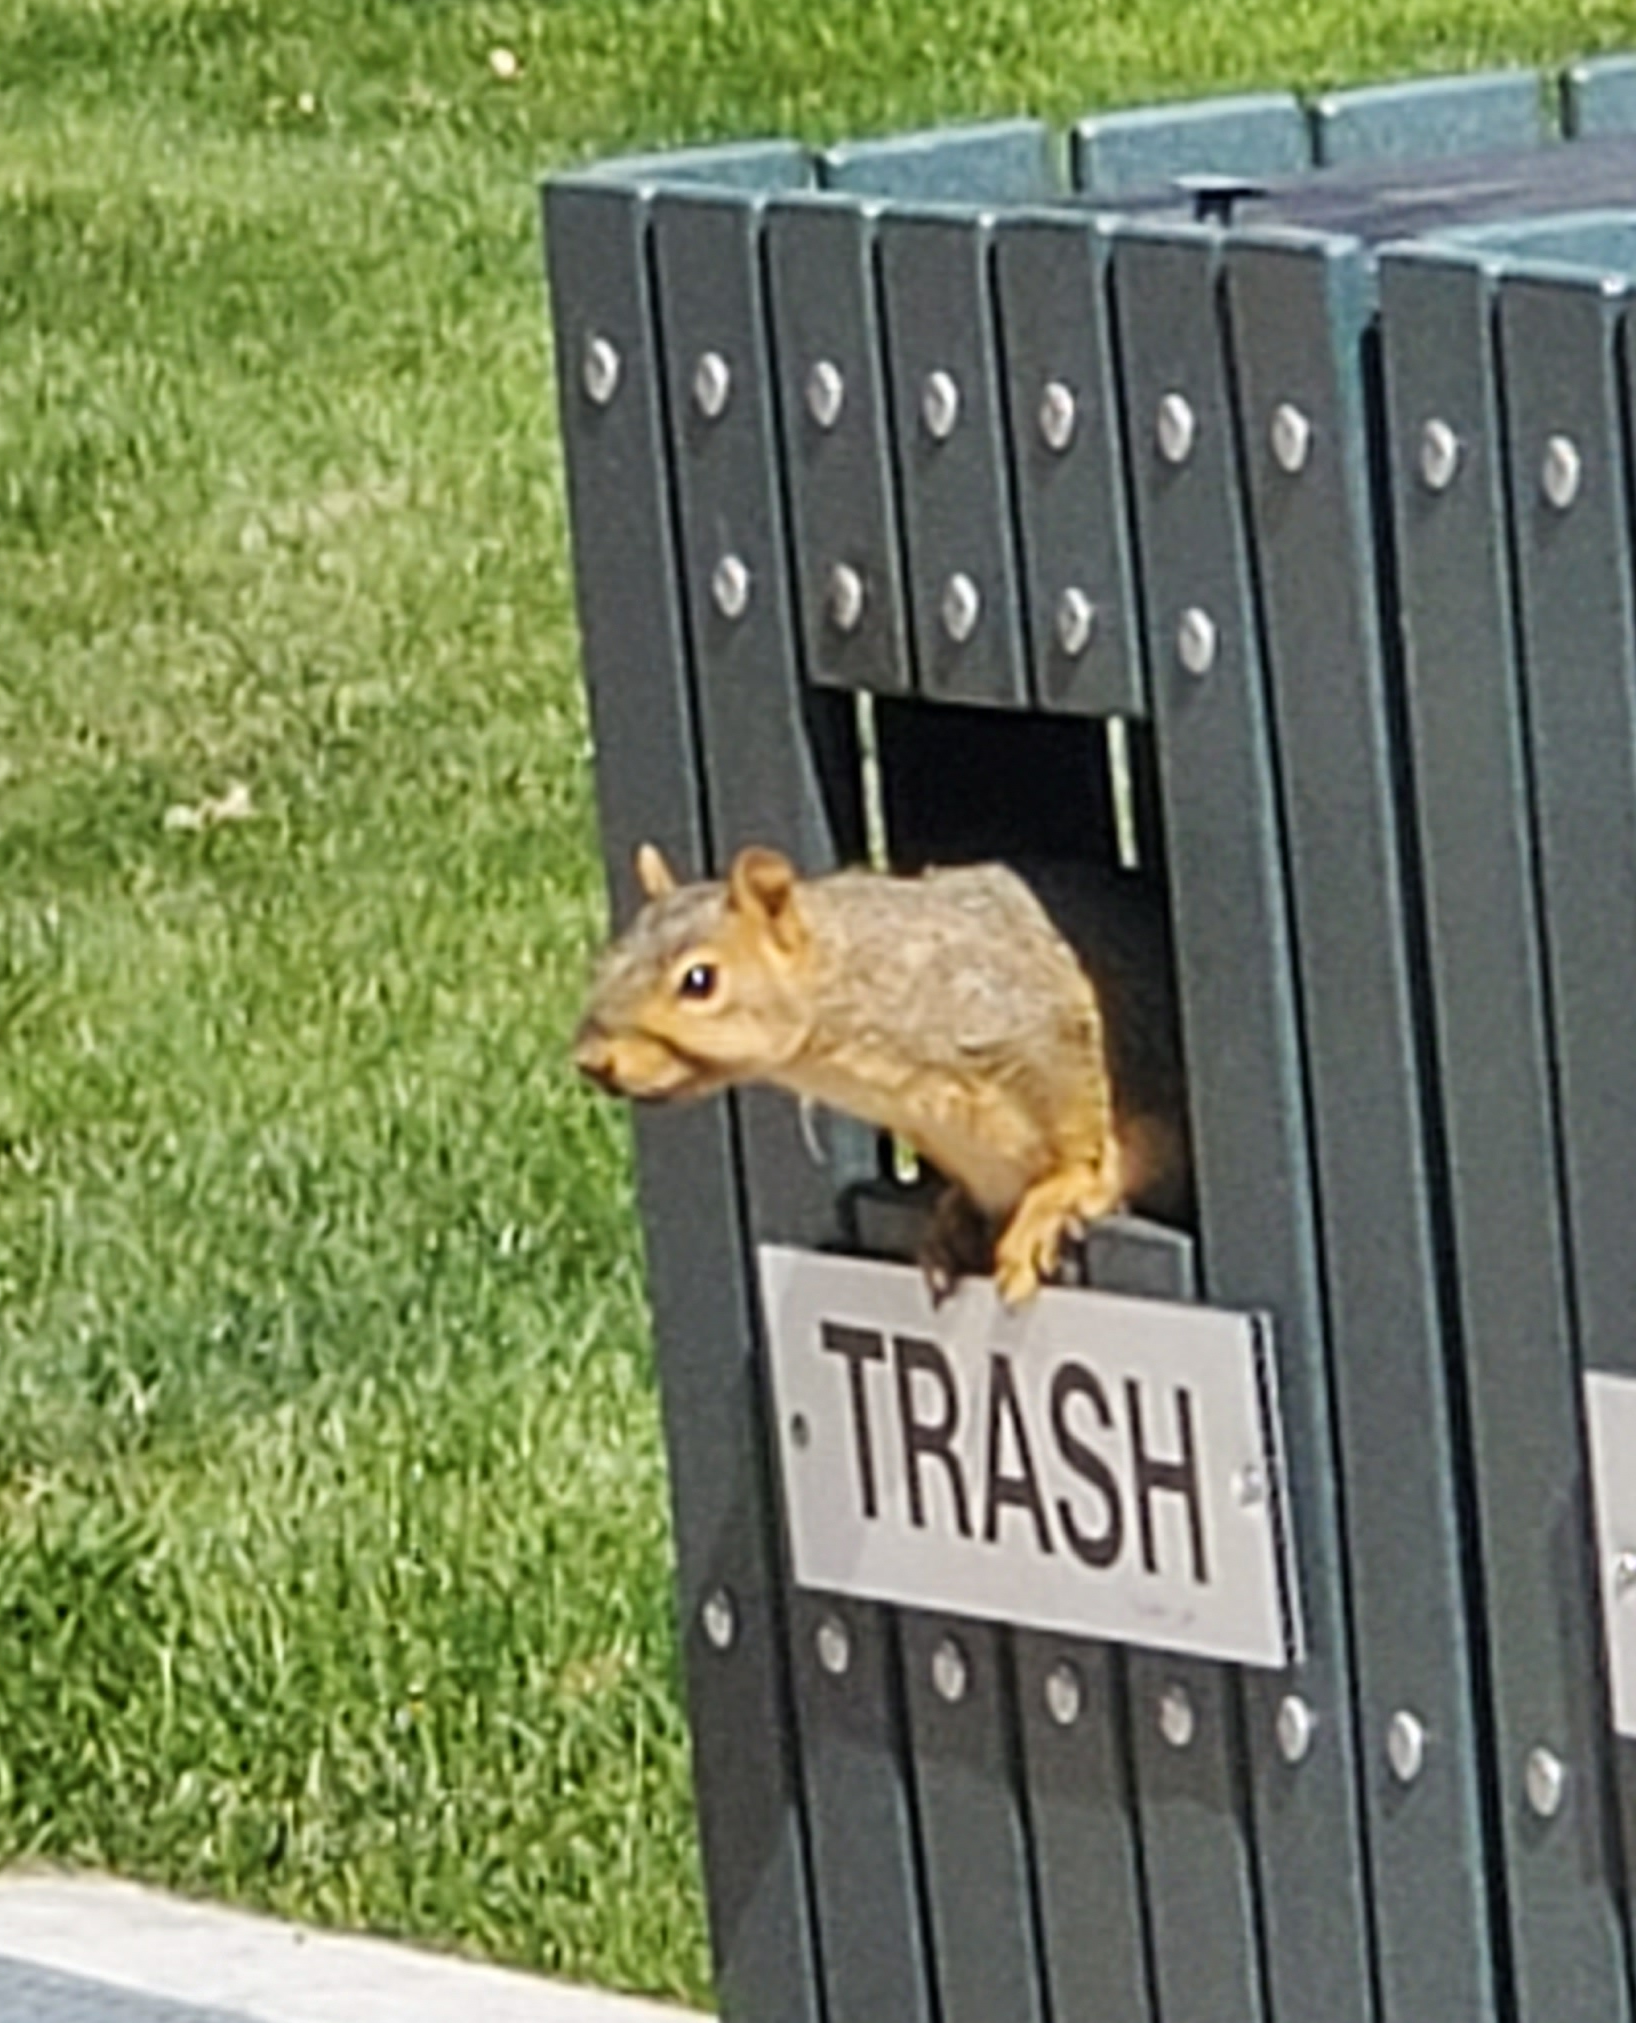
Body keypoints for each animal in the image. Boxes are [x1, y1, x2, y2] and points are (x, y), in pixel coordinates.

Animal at [574, 841, 1189, 1302]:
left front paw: (1056, 1198)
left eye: (699, 981)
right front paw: (949, 1222)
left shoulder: (1033, 1031)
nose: (591, 1061)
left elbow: (1077, 1135)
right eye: (607, 958)